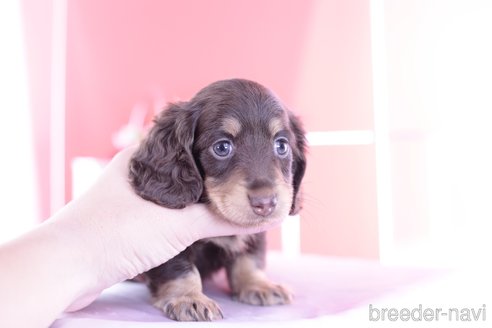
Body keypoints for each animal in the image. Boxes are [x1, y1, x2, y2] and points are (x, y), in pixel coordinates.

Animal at [129, 79, 306, 320]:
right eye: (222, 147)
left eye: (281, 145)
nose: (265, 203)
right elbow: (179, 267)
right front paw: (189, 298)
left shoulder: (255, 233)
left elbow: (250, 258)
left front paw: (257, 285)